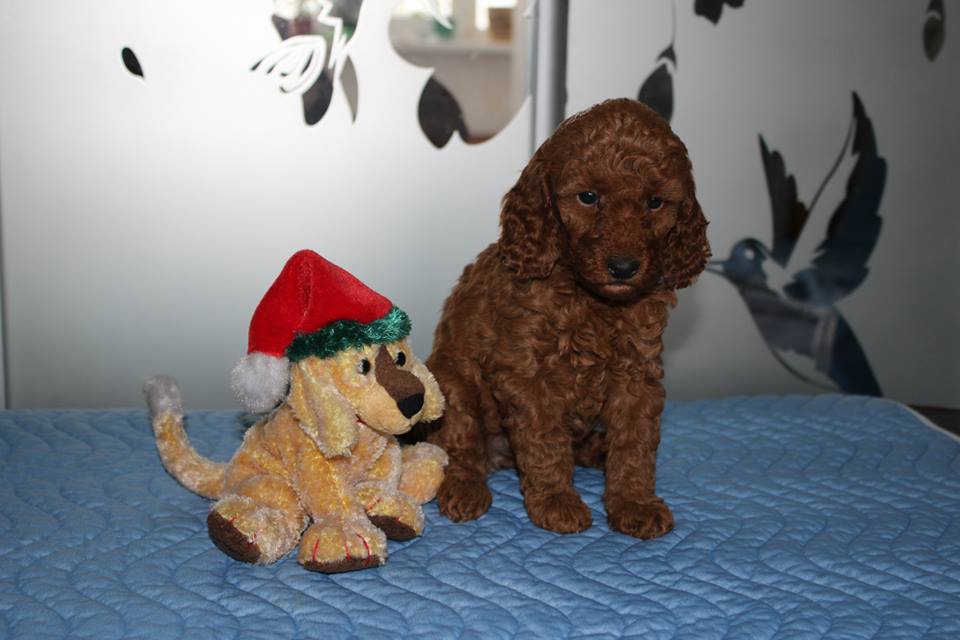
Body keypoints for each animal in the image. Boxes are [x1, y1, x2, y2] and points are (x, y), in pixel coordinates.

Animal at [421, 98, 710, 538]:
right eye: (588, 197)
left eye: (655, 203)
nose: (623, 267)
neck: (592, 300)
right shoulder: (526, 372)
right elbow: (544, 439)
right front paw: (556, 500)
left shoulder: (638, 373)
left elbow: (635, 443)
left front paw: (634, 502)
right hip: (452, 382)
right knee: (459, 444)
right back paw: (465, 488)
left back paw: (596, 450)